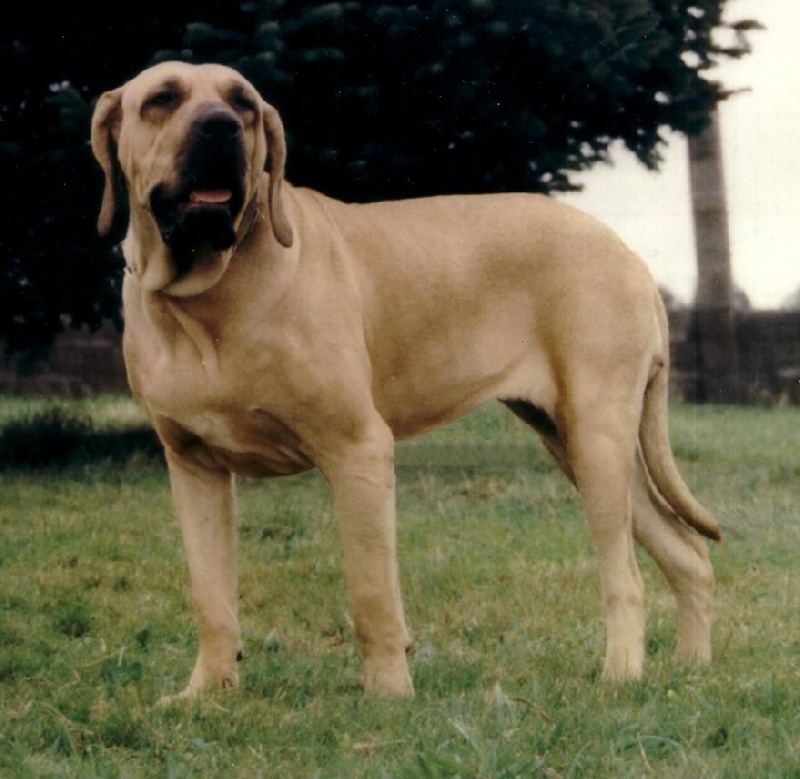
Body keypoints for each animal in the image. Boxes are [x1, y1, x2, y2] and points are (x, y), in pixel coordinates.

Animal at [90, 61, 720, 702]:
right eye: (162, 99)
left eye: (242, 102)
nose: (222, 126)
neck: (207, 299)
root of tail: (628, 254)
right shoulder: (194, 467)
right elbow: (211, 597)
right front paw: (206, 694)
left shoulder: (358, 450)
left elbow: (372, 594)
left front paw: (389, 694)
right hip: (577, 443)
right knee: (687, 554)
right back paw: (691, 669)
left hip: (597, 437)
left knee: (627, 577)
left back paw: (620, 676)